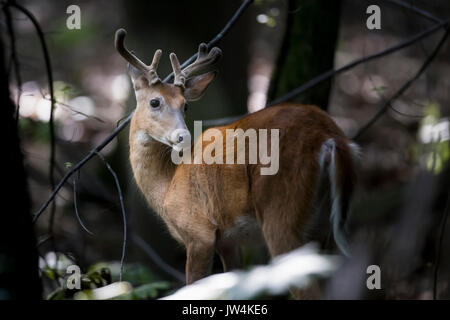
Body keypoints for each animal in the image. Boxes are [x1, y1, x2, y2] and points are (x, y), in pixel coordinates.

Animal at [115, 28, 358, 290]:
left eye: (185, 105)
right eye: (155, 101)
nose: (183, 136)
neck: (168, 186)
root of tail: (329, 136)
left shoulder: (199, 231)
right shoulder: (228, 240)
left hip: (281, 207)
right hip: (323, 224)